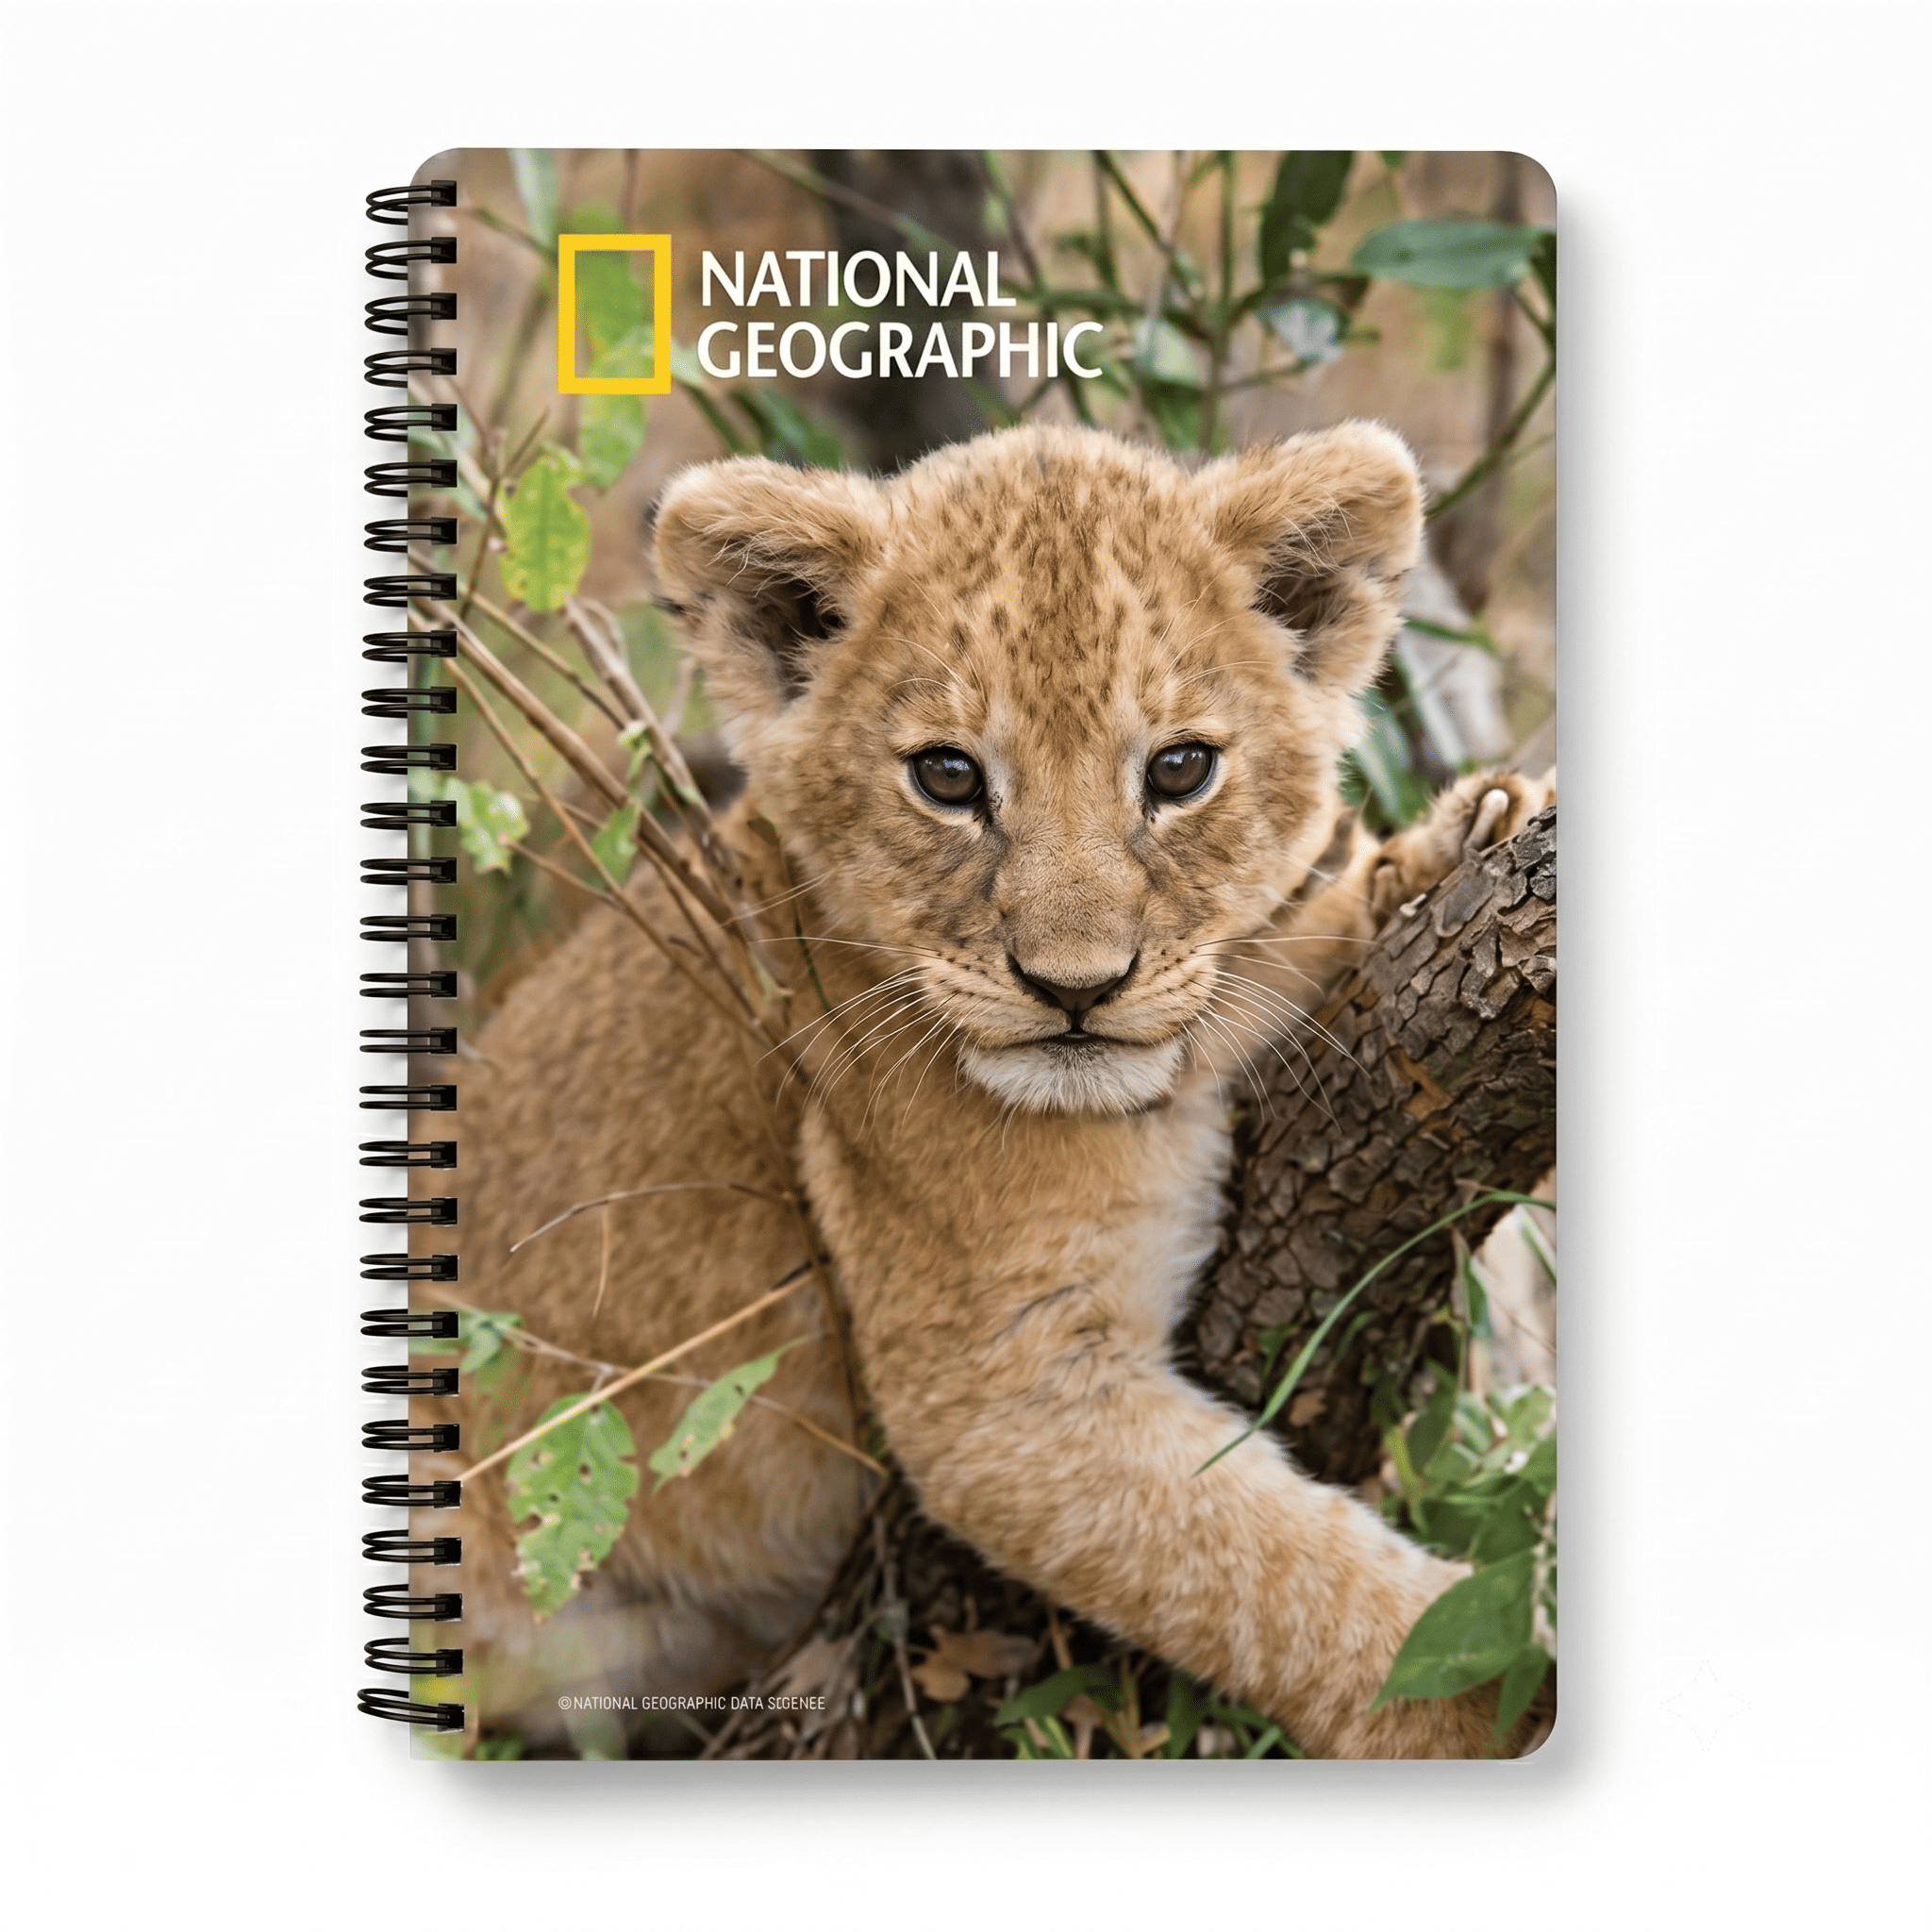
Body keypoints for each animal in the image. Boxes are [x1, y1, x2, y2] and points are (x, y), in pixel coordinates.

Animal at [430, 421, 1551, 1758]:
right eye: (948, 778)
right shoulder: (1003, 1398)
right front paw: (1508, 1693)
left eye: (1179, 768)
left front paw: (1443, 844)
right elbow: (1300, 1585)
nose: (1075, 987)